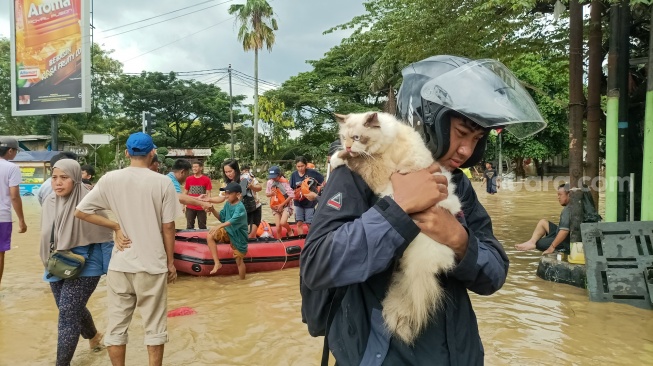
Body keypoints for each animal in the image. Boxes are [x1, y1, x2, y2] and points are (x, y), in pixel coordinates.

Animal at [332, 110, 458, 344]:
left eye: (357, 138)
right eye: (344, 138)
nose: (348, 146)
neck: (386, 140)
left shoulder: (379, 171)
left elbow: (356, 162)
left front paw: (337, 159)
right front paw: (336, 158)